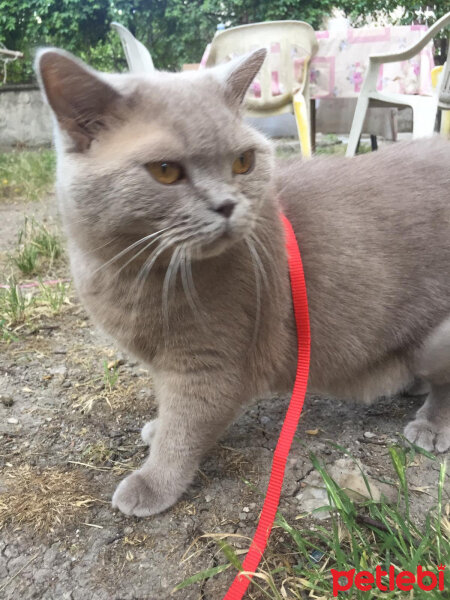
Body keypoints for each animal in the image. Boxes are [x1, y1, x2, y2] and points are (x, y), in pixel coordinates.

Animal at [36, 45, 450, 516]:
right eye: (165, 170)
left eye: (242, 162)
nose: (227, 205)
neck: (134, 272)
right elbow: (169, 410)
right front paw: (156, 429)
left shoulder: (209, 364)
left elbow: (185, 428)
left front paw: (152, 481)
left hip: (438, 338)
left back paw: (429, 424)